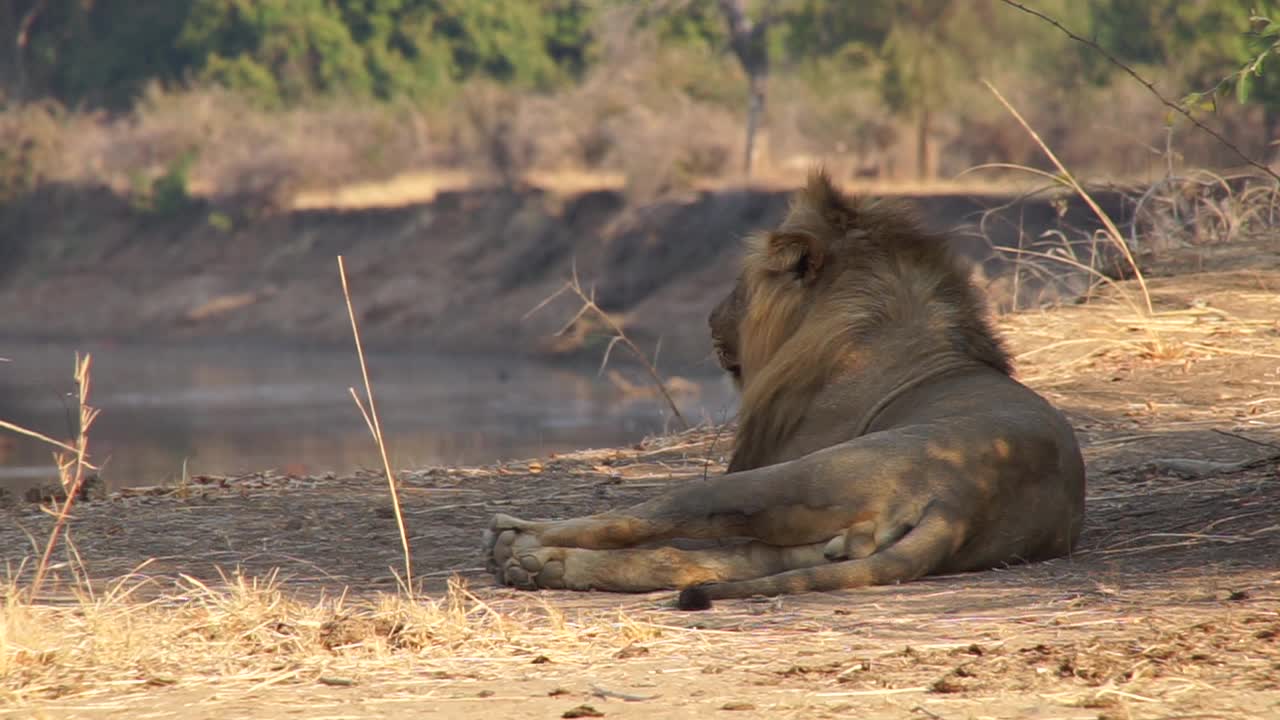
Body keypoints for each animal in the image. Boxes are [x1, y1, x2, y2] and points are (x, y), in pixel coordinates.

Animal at [483, 167, 1085, 604]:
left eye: (742, 283)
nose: (708, 318)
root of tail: (963, 500)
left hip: (783, 479)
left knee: (647, 520)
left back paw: (521, 540)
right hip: (816, 535)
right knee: (696, 560)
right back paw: (541, 565)